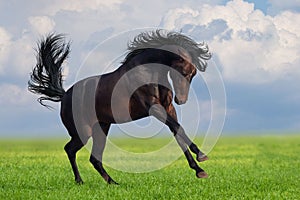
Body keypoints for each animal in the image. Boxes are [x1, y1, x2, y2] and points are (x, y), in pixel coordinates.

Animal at [27, 29, 211, 184]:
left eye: (193, 74)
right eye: (185, 72)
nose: (181, 100)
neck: (148, 73)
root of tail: (65, 95)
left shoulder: (168, 109)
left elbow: (178, 132)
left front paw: (199, 169)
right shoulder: (153, 108)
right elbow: (178, 128)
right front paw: (201, 156)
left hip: (101, 128)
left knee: (94, 158)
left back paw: (113, 183)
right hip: (83, 132)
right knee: (70, 150)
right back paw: (80, 181)